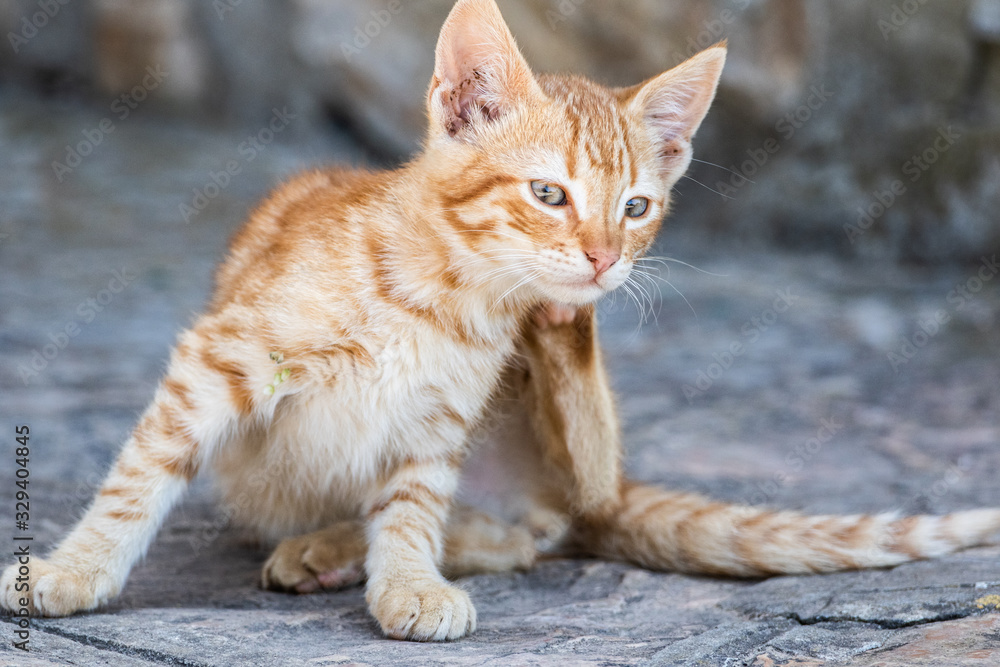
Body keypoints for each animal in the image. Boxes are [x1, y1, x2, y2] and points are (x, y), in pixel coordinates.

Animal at [1, 0, 1000, 640]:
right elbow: (139, 476)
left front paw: (404, 579)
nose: (602, 258)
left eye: (636, 207)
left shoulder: (438, 425)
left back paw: (343, 542)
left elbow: (413, 508)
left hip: (573, 463)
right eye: (549, 194)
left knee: (542, 517)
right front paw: (74, 569)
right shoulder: (220, 356)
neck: (443, 291)